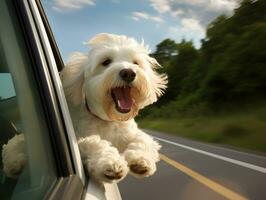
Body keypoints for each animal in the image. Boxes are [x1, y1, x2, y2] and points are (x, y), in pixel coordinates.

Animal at [2, 33, 167, 183]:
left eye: (136, 63)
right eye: (106, 62)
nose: (128, 73)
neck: (107, 119)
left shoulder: (130, 133)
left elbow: (144, 140)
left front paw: (141, 160)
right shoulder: (79, 139)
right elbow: (92, 142)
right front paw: (109, 162)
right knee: (15, 145)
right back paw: (15, 163)